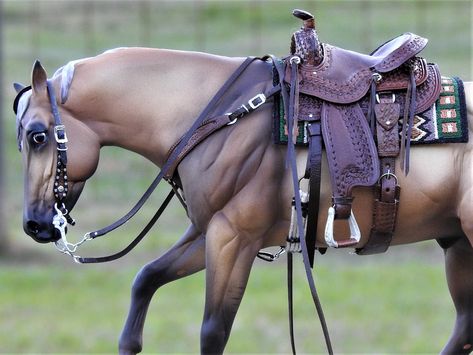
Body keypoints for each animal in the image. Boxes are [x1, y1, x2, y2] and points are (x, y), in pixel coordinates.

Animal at [12, 43, 472, 354]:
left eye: (37, 136)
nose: (35, 224)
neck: (220, 116)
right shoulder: (207, 232)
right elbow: (146, 280)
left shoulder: (234, 238)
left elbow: (213, 330)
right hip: (457, 245)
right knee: (465, 326)